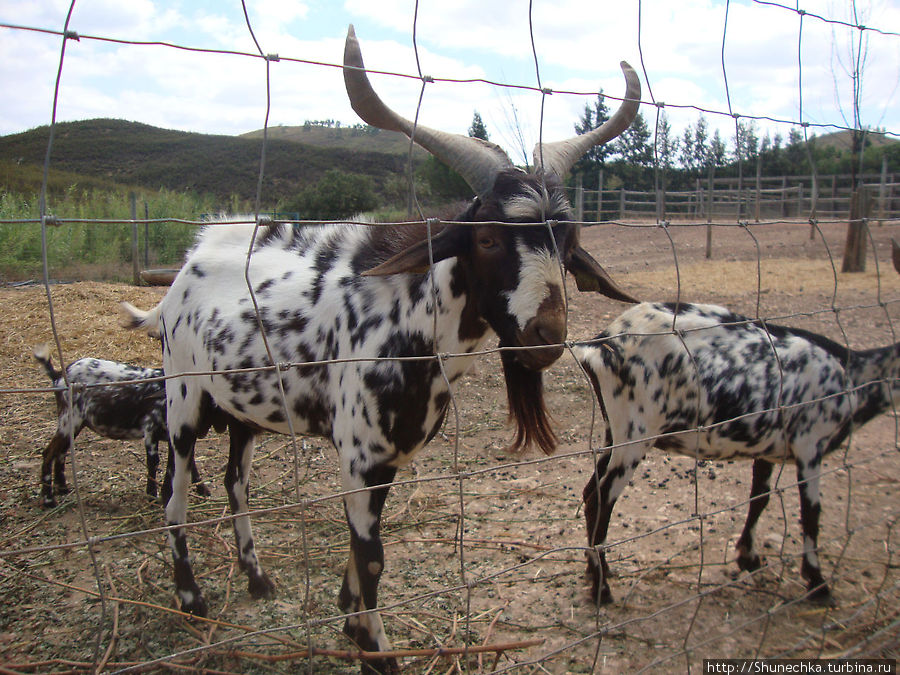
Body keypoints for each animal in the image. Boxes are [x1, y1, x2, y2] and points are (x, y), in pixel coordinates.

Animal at [33, 344, 207, 508]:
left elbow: (188, 461)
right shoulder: (151, 429)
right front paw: (152, 495)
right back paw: (48, 499)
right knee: (48, 453)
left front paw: (202, 489)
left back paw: (62, 488)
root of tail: (58, 376)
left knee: (61, 451)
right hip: (69, 418)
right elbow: (153, 462)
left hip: (74, 423)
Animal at [121, 22, 640, 675]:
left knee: (236, 481)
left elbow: (360, 551)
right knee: (175, 493)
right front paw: (375, 649)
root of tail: (188, 263)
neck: (410, 322)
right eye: (488, 238)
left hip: (245, 409)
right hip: (183, 398)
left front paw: (349, 619)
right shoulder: (360, 454)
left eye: (567, 244)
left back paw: (257, 579)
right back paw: (191, 598)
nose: (547, 336)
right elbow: (372, 557)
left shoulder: (388, 458)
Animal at [572, 302, 900, 608]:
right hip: (635, 432)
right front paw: (818, 583)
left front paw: (748, 557)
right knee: (600, 500)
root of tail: (602, 343)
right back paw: (602, 589)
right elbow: (811, 515)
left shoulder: (766, 448)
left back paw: (599, 571)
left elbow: (760, 498)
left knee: (590, 491)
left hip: (613, 433)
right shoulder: (810, 445)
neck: (854, 375)